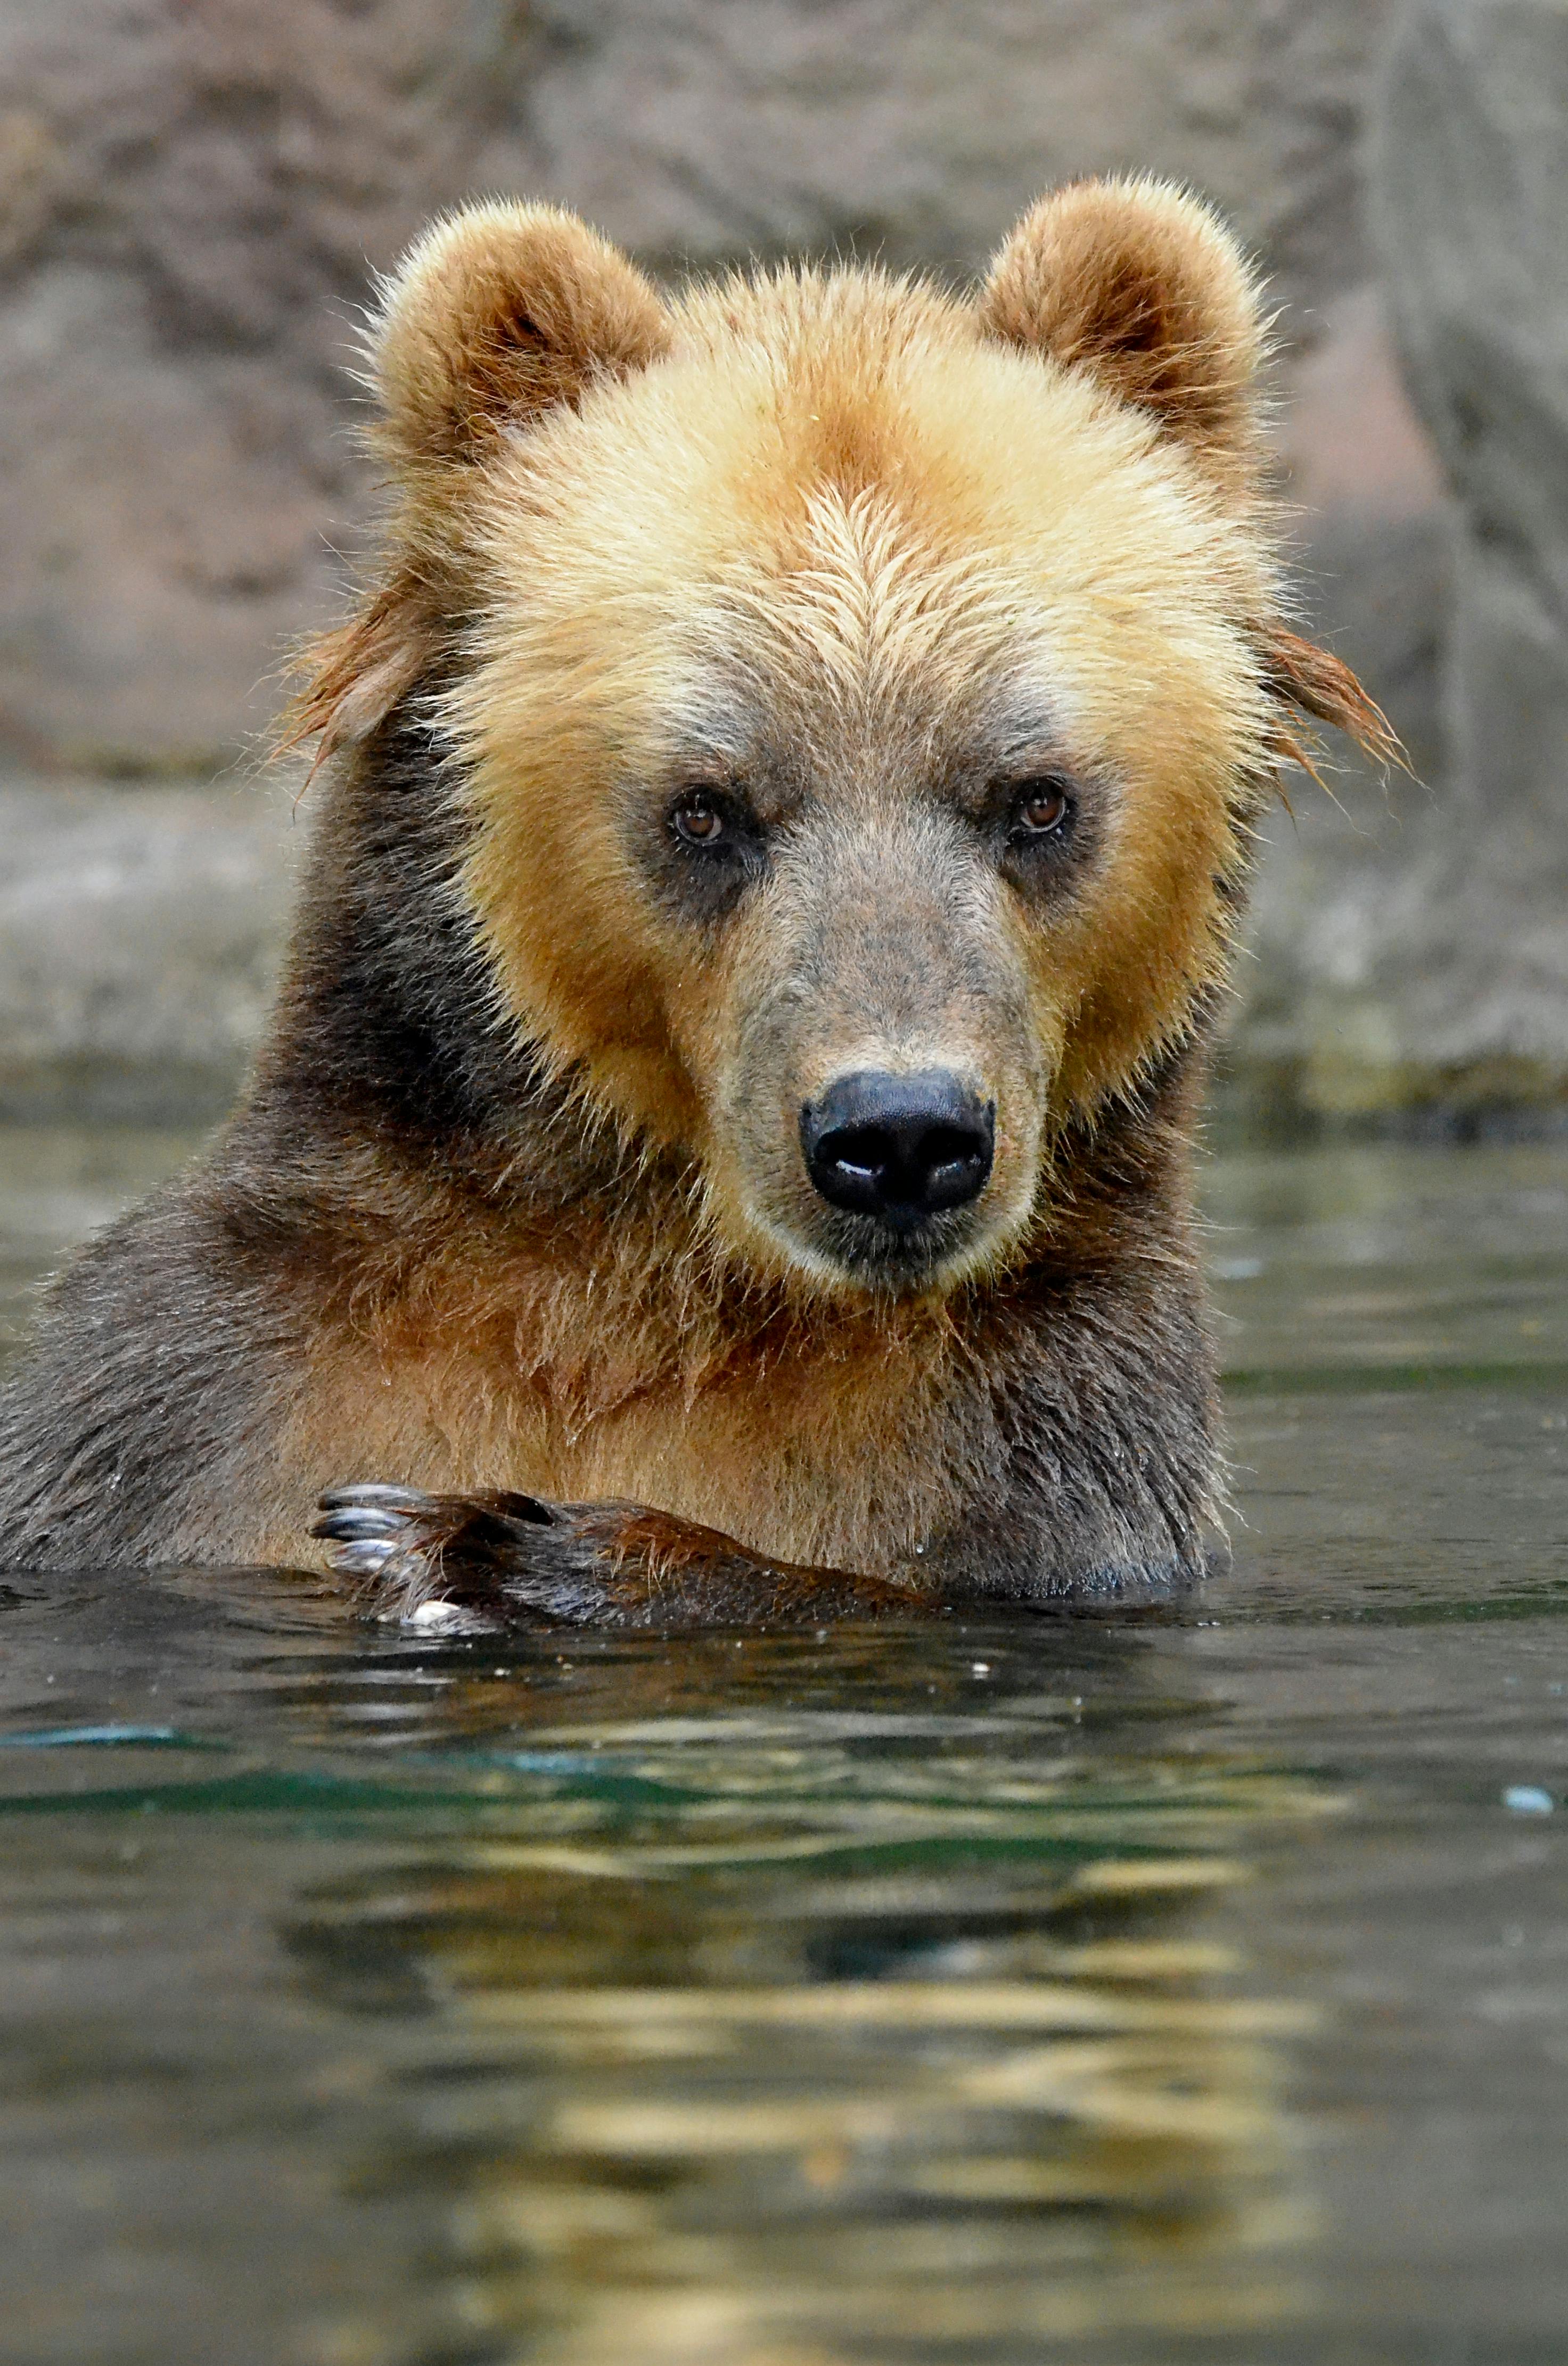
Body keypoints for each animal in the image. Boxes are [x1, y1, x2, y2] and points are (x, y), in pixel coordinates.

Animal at [0, 184, 1390, 1628]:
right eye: (706, 805)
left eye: (1035, 797)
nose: (899, 1133)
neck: (668, 1277)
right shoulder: (205, 1414)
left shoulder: (1036, 1464)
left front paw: (490, 1537)